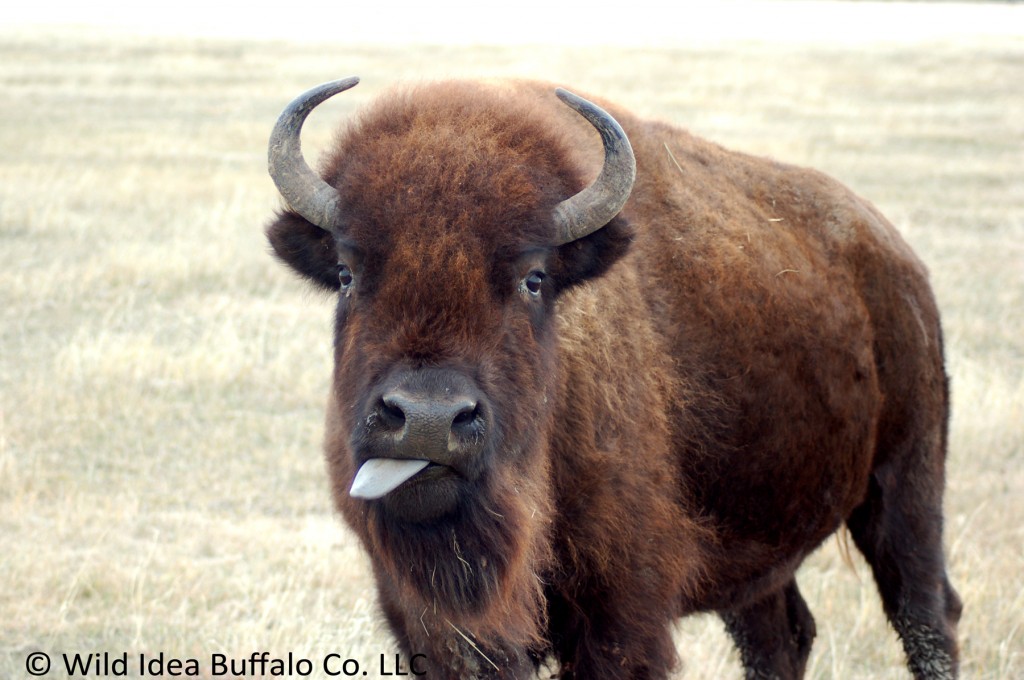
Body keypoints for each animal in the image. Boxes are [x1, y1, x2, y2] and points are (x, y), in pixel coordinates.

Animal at [264, 77, 961, 679]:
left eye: (534, 278)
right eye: (347, 273)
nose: (428, 421)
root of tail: (896, 257)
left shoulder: (623, 608)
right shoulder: (433, 623)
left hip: (906, 483)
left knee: (925, 610)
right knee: (781, 634)